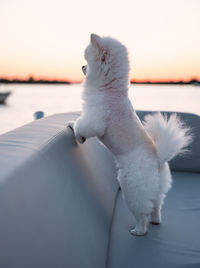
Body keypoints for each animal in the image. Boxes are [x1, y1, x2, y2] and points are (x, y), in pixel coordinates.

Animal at [68, 34, 191, 236]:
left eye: (87, 62)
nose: (82, 67)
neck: (110, 89)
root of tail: (158, 160)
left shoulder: (95, 117)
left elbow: (83, 125)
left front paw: (73, 127)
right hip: (158, 189)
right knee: (156, 206)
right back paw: (156, 220)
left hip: (132, 189)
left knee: (142, 213)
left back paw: (139, 230)